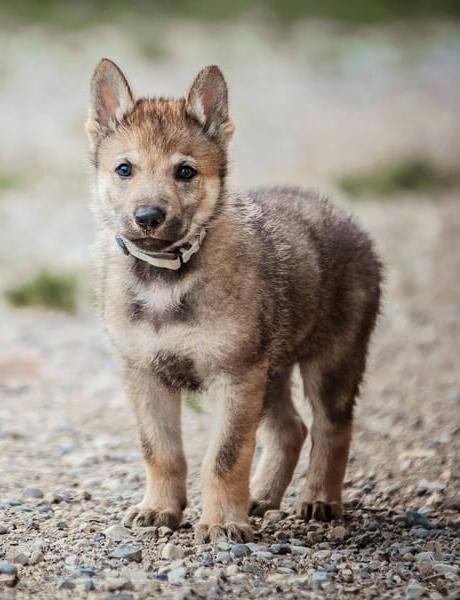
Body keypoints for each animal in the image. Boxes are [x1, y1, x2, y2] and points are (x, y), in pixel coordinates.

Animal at [85, 61, 380, 544]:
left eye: (185, 172)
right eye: (124, 168)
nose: (148, 218)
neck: (168, 279)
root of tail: (345, 218)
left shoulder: (234, 376)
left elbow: (225, 456)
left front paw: (222, 522)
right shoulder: (145, 374)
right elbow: (160, 451)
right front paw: (159, 509)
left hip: (331, 363)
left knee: (332, 427)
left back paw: (319, 500)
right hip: (272, 370)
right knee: (291, 429)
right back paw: (260, 496)